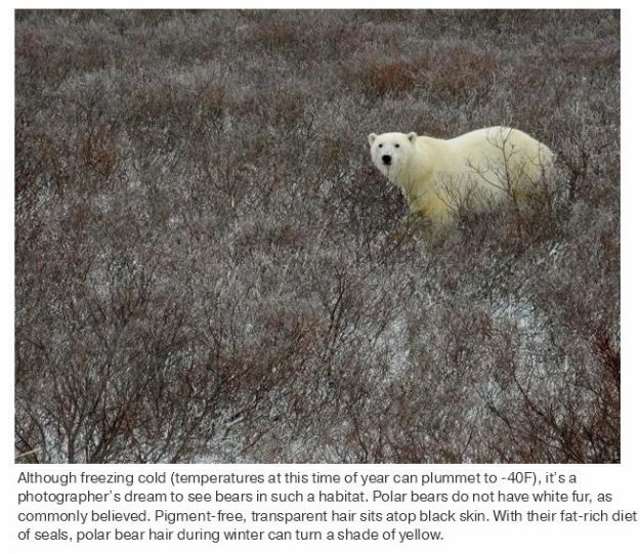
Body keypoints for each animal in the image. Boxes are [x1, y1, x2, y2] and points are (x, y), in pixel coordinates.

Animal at [368, 126, 552, 225]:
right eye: (380, 145)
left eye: (397, 145)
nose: (386, 157)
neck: (421, 166)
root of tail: (544, 148)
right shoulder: (414, 190)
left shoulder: (436, 186)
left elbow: (441, 216)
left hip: (523, 171)